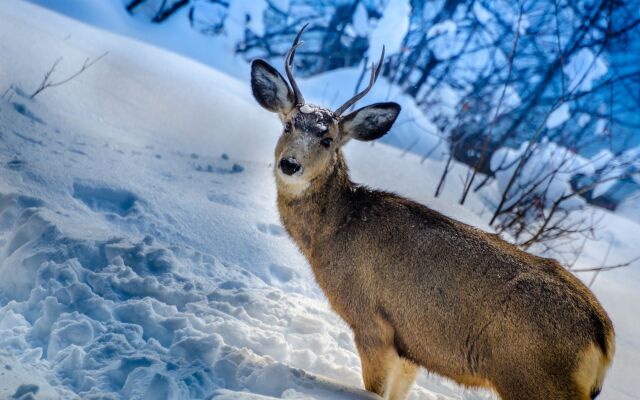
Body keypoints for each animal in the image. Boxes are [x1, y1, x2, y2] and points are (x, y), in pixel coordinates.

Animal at [248, 25, 612, 400]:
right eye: (288, 125)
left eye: (327, 139)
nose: (290, 164)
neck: (332, 231)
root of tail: (603, 337)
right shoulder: (411, 347)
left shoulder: (374, 323)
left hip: (532, 377)